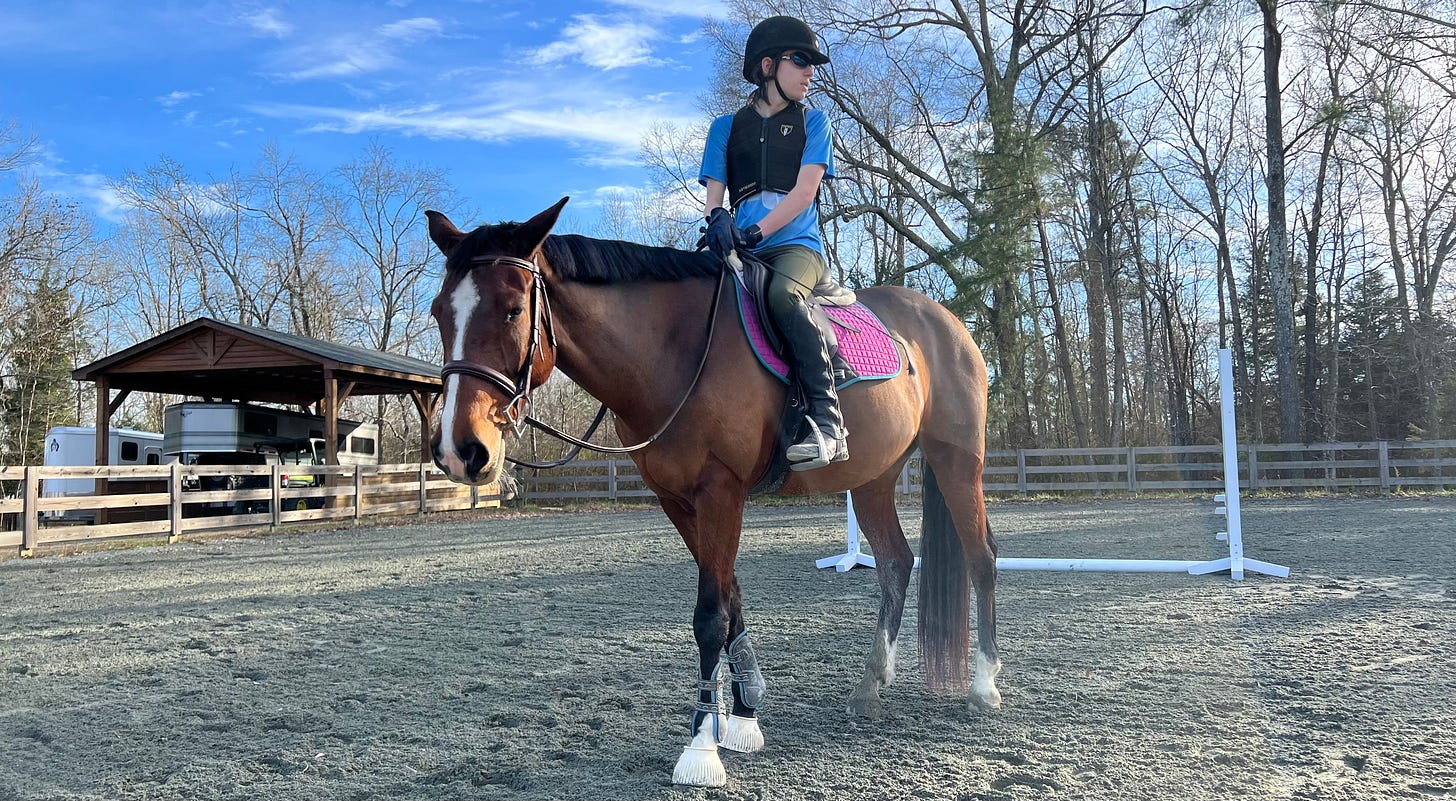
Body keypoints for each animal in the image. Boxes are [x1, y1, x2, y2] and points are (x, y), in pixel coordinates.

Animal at [422, 198, 1001, 786]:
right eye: (439, 312)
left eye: (514, 310)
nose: (459, 448)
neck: (672, 351)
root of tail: (945, 320)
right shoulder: (679, 501)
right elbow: (731, 601)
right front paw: (744, 714)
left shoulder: (721, 490)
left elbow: (710, 617)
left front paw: (703, 745)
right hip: (873, 478)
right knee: (896, 564)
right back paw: (871, 686)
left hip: (958, 460)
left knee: (981, 557)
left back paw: (983, 687)